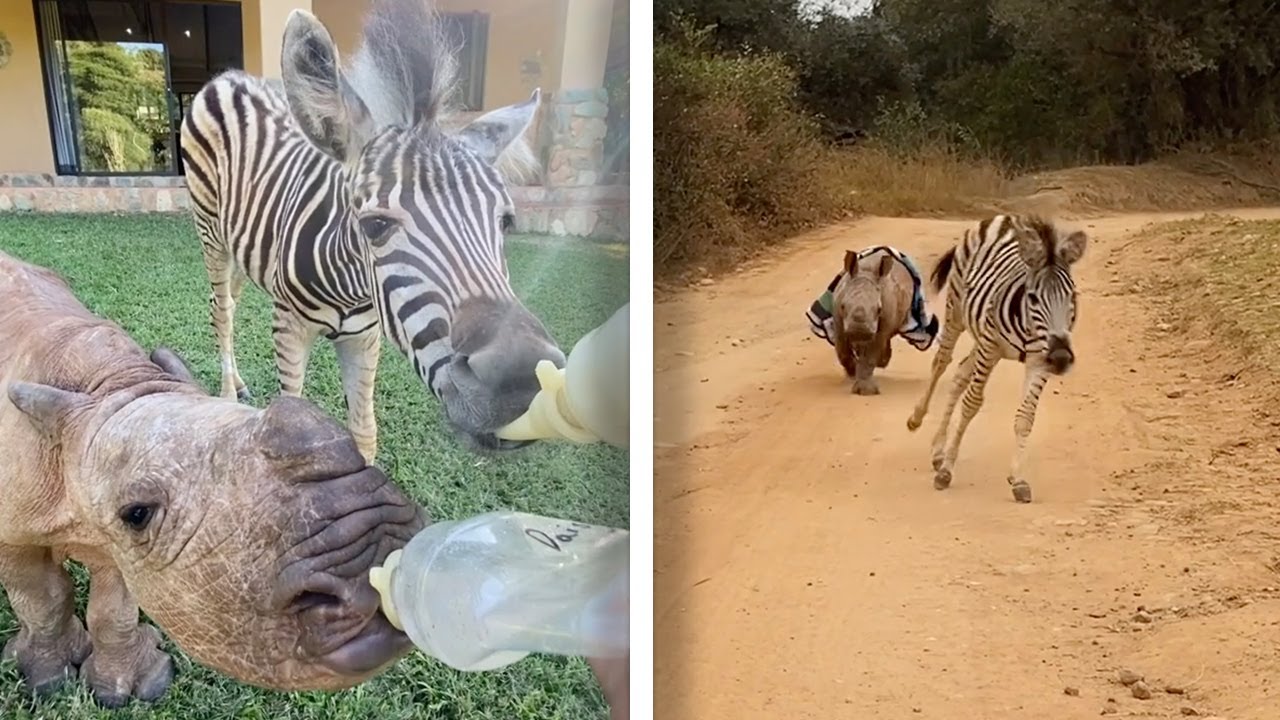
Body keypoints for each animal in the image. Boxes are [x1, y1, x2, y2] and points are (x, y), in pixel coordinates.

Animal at [0, 249, 426, 706]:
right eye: (137, 513)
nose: (380, 552)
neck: (112, 384)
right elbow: (42, 598)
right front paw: (47, 680)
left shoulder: (123, 539)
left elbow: (114, 609)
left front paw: (132, 687)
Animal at [179, 0, 566, 462]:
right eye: (375, 225)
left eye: (505, 222)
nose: (524, 384)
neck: (350, 287)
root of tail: (228, 76)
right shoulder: (288, 327)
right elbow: (291, 416)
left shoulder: (365, 338)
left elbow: (364, 432)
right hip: (209, 231)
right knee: (221, 310)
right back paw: (226, 394)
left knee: (231, 300)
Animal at [904, 214, 1088, 503]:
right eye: (1032, 297)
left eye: (1072, 295)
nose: (1061, 358)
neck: (1030, 326)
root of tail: (1008, 217)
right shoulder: (991, 349)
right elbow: (972, 403)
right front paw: (946, 473)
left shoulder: (1039, 360)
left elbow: (1025, 417)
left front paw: (1018, 480)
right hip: (958, 313)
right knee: (942, 362)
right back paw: (918, 419)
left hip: (982, 340)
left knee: (960, 373)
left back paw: (938, 449)